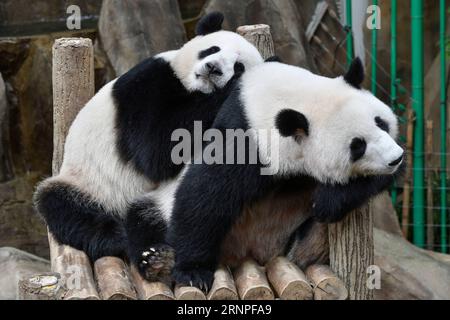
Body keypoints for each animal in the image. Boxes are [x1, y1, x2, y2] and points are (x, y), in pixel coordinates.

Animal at [34, 13, 264, 272]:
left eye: (238, 66)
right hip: (88, 184)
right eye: (213, 49)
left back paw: (155, 254)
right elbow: (155, 149)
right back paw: (126, 240)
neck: (193, 89)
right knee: (65, 208)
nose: (212, 68)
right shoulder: (147, 83)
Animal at [125, 57, 404, 288]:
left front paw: (330, 200)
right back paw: (157, 262)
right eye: (357, 146)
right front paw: (192, 271)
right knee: (142, 218)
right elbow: (204, 197)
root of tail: (249, 255)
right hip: (161, 205)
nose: (395, 157)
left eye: (380, 122)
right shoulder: (249, 139)